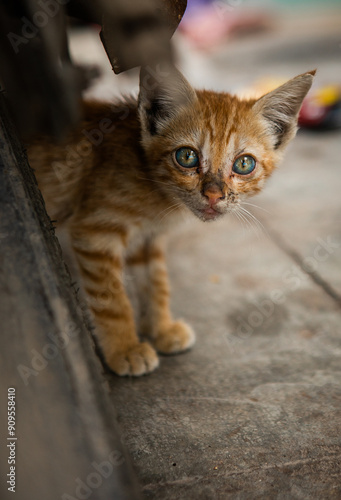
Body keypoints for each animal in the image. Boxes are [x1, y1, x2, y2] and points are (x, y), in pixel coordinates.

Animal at [27, 64, 314, 376]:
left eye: (244, 164)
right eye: (187, 157)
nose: (213, 195)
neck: (158, 196)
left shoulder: (148, 238)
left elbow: (155, 281)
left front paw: (161, 329)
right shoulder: (95, 231)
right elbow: (111, 298)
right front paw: (124, 349)